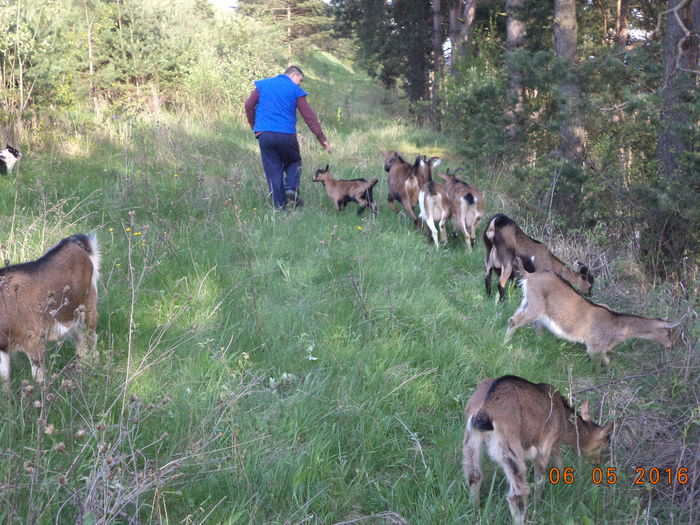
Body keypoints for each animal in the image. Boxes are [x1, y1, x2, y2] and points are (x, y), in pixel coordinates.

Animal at [0, 231, 101, 382]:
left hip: (89, 303)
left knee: (91, 336)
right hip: (71, 314)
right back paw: (82, 365)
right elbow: (4, 377)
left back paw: (94, 366)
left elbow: (38, 377)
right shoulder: (3, 346)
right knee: (79, 338)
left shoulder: (33, 339)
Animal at [464, 374, 612, 524]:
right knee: (517, 493)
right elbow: (540, 478)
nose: (600, 462)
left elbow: (558, 461)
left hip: (470, 440)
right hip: (509, 446)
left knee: (474, 475)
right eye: (605, 444)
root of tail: (484, 412)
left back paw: (476, 511)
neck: (564, 421)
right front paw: (538, 505)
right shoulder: (545, 444)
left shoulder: (553, 443)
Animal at [506, 268, 676, 366]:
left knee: (532, 324)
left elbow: (608, 362)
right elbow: (596, 366)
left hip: (529, 303)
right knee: (513, 321)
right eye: (669, 332)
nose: (672, 346)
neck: (616, 326)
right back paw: (506, 344)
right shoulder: (594, 346)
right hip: (535, 306)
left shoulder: (602, 348)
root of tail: (528, 276)